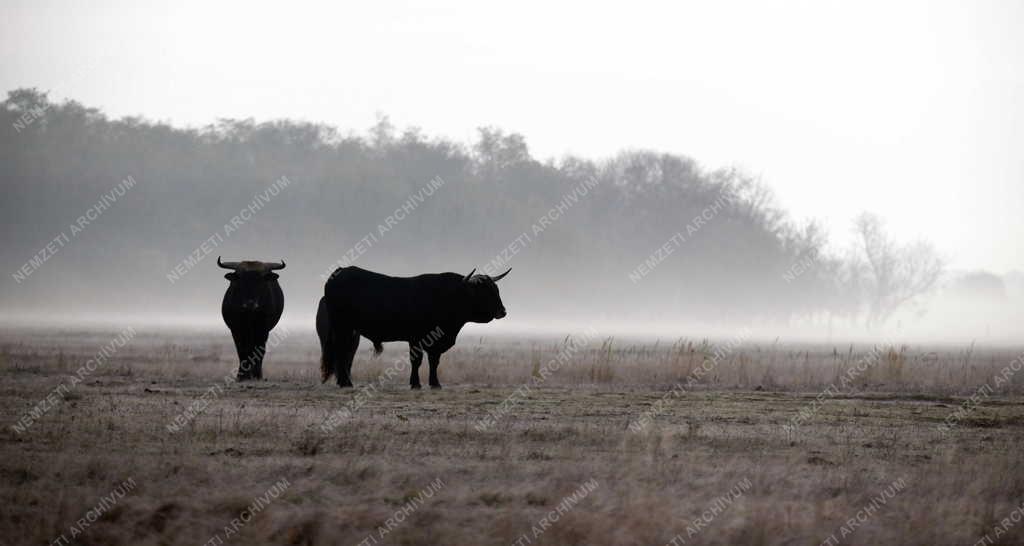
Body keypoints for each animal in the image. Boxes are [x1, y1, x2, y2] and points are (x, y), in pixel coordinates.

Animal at [317, 264, 509, 387]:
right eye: (483, 292)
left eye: (496, 290)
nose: (503, 311)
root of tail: (341, 271)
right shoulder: (417, 338)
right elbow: (417, 361)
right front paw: (416, 383)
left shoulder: (435, 341)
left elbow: (434, 361)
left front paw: (434, 383)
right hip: (341, 326)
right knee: (341, 352)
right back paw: (345, 383)